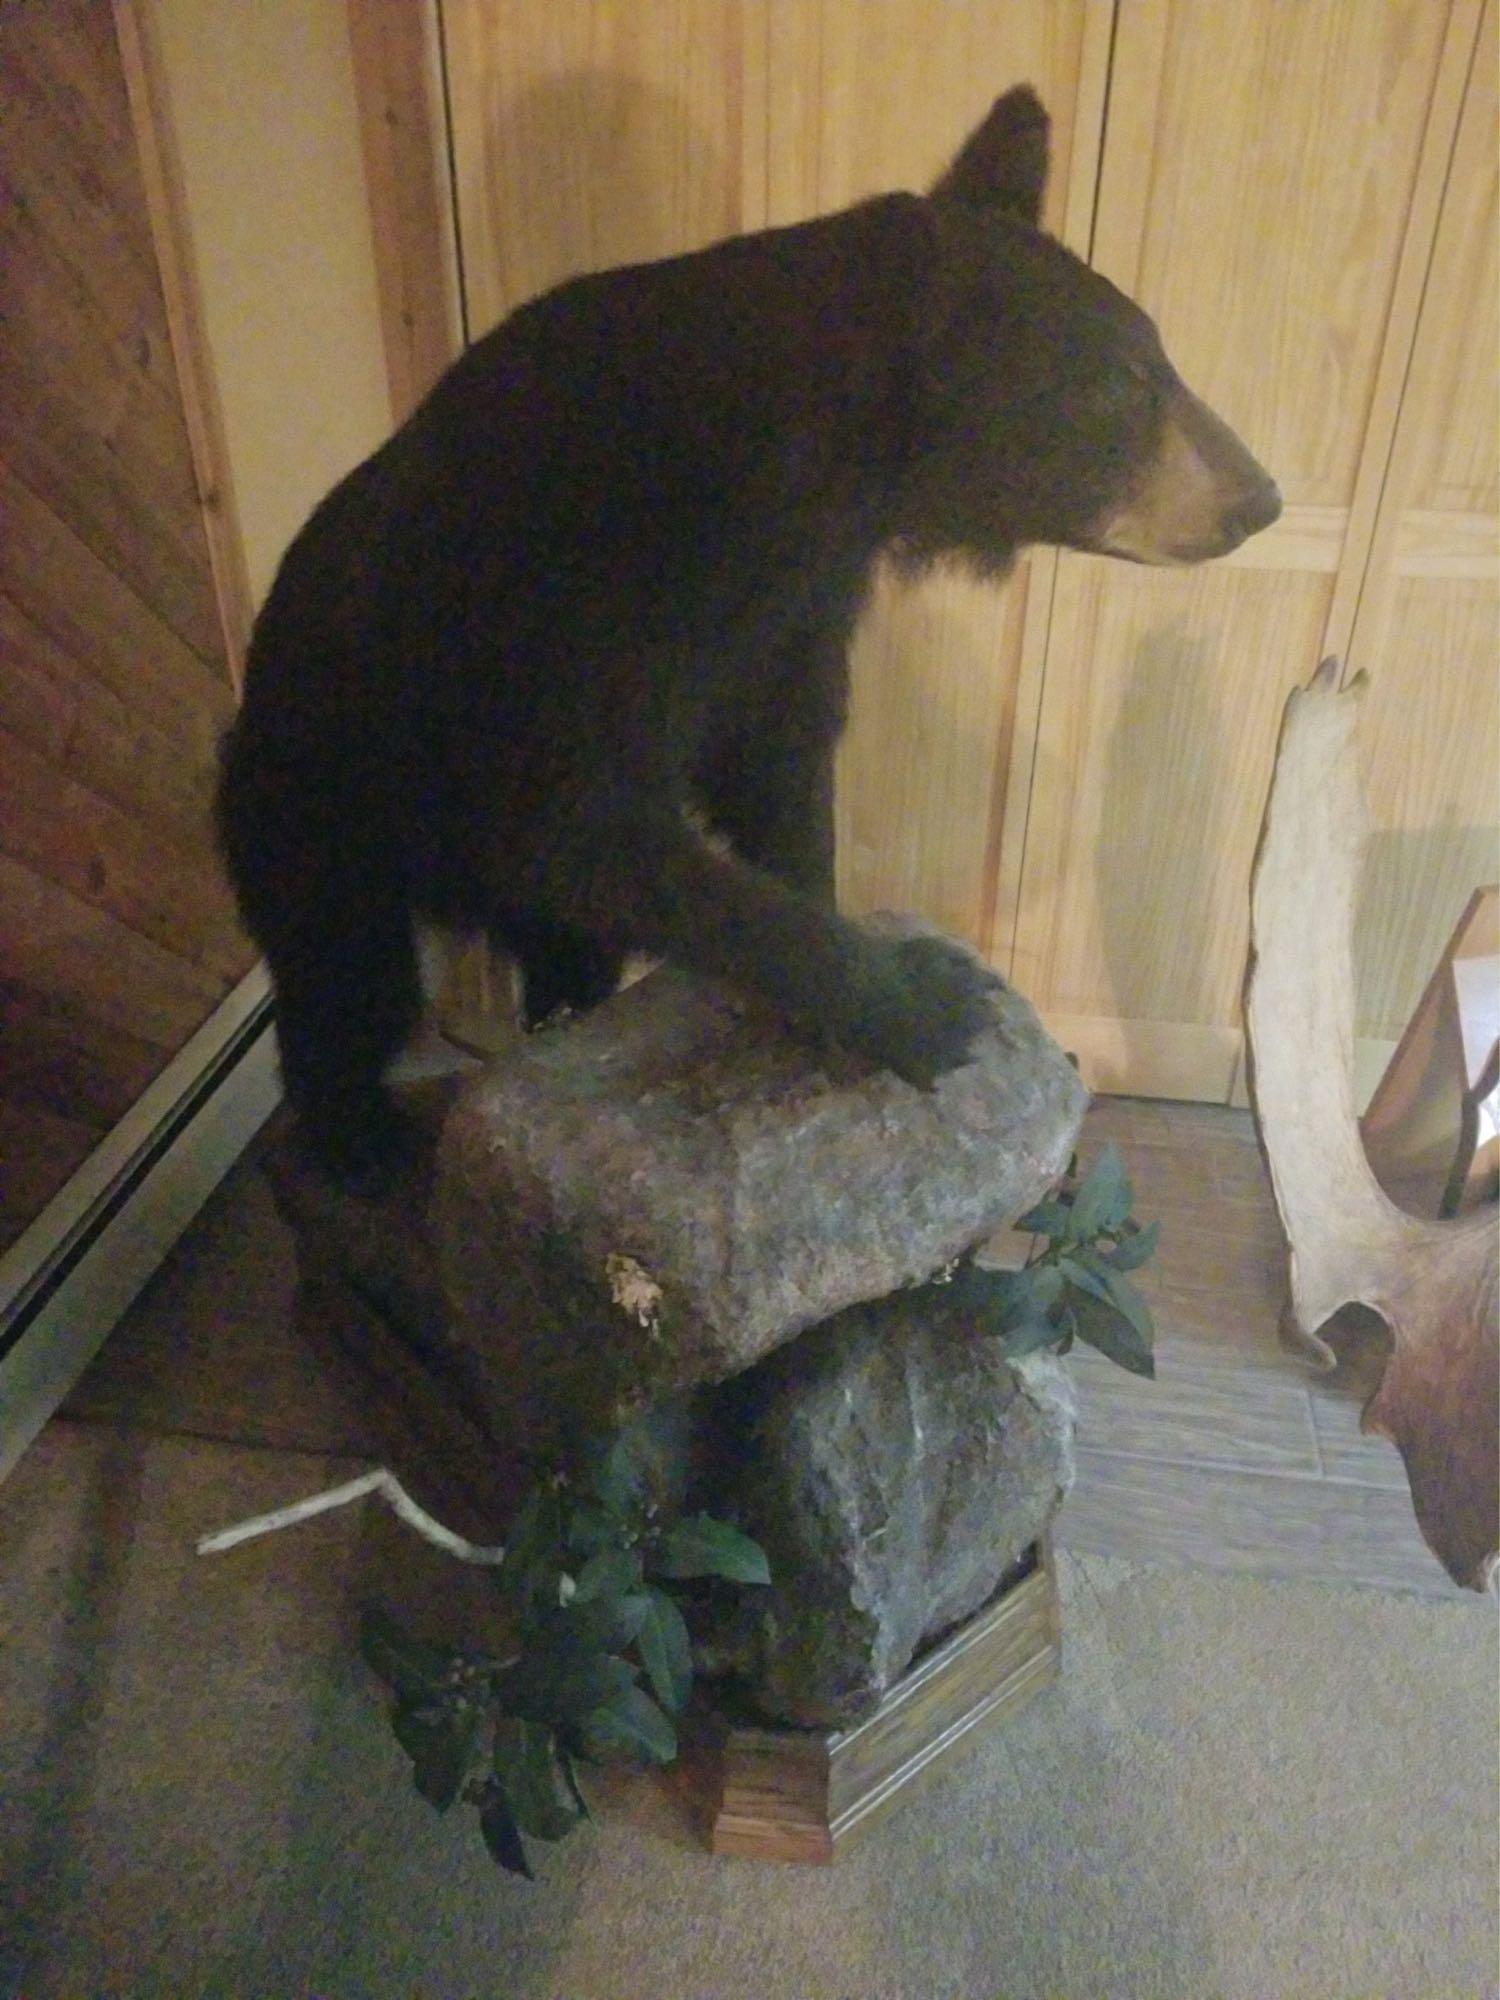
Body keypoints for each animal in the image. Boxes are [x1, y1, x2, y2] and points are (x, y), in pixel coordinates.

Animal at [216, 85, 1280, 1189]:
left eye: (1161, 359)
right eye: (1127, 384)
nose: (1261, 497)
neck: (797, 477)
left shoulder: (794, 598)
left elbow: (779, 752)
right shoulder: (572, 592)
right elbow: (572, 819)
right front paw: (928, 999)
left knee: (552, 942)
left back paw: (562, 1011)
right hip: (320, 803)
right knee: (345, 975)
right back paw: (362, 1137)